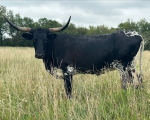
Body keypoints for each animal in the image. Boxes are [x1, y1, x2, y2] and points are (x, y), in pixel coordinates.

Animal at [3, 15, 144, 98]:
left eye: (46, 40)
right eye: (34, 40)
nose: (39, 54)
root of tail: (137, 34)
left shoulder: (68, 71)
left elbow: (69, 91)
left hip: (125, 67)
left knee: (131, 83)